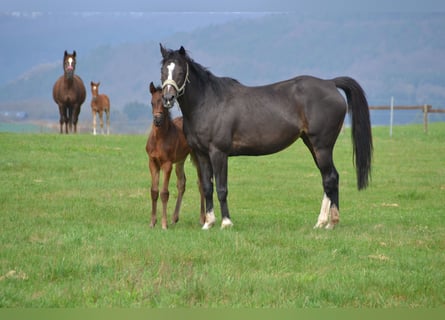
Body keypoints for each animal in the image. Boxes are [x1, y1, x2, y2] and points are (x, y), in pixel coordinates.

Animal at [146, 81, 205, 229]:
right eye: (152, 102)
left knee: (201, 183)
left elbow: (164, 193)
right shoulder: (152, 163)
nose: (157, 120)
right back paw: (174, 218)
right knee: (181, 183)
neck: (159, 139)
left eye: (164, 103)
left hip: (197, 157)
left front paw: (164, 224)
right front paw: (152, 222)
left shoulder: (167, 164)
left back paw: (203, 218)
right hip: (180, 160)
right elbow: (154, 191)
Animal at [160, 45, 372, 230]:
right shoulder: (202, 154)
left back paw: (331, 223)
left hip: (322, 146)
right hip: (312, 145)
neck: (209, 102)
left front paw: (226, 223)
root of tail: (330, 83)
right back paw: (323, 222)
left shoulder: (218, 153)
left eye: (180, 71)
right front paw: (209, 223)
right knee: (329, 178)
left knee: (330, 178)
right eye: (163, 70)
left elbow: (221, 188)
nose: (168, 98)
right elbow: (207, 187)